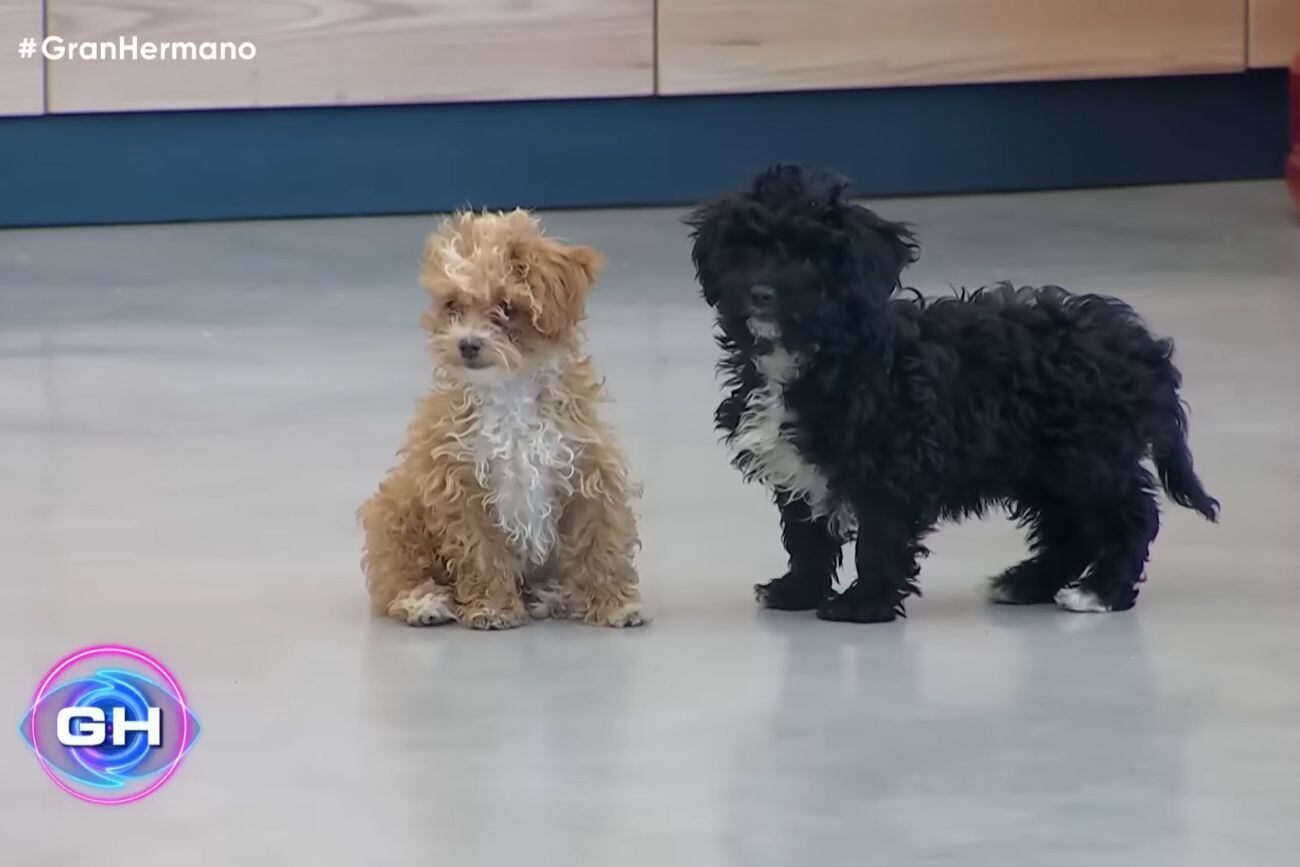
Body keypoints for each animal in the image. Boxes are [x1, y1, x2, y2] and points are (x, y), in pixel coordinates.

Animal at [358, 210, 647, 631]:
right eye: (452, 304)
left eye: (508, 307)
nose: (467, 343)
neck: (509, 390)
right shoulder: (457, 483)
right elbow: (481, 552)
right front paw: (492, 608)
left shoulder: (589, 471)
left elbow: (602, 543)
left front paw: (614, 604)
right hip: (394, 510)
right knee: (398, 574)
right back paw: (422, 601)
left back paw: (553, 595)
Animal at [691, 164, 1216, 623]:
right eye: (746, 251)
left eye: (807, 256)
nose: (760, 293)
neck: (820, 353)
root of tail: (1142, 348)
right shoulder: (798, 468)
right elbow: (807, 537)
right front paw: (797, 591)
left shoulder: (889, 468)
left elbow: (878, 540)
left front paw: (863, 605)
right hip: (1044, 468)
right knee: (1070, 530)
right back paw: (1026, 583)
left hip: (1087, 458)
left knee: (1131, 515)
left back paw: (1100, 592)